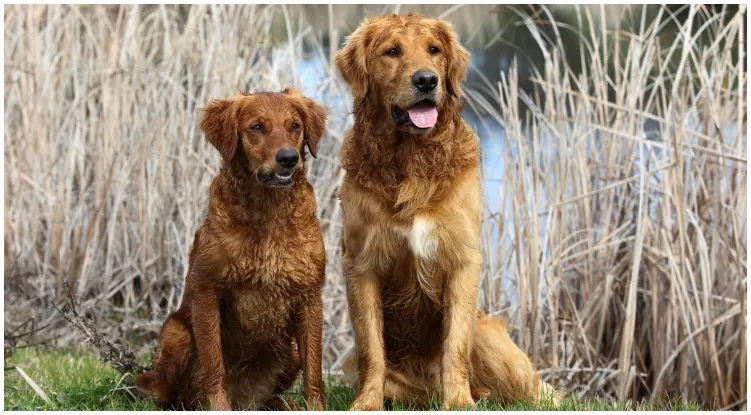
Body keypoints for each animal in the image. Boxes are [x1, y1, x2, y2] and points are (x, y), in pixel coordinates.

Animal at [136, 89, 328, 412]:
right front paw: (217, 406)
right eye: (257, 127)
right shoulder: (207, 291)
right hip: (176, 333)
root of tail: (245, 401)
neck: (268, 213)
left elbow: (314, 367)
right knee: (169, 394)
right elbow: (213, 363)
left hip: (288, 351)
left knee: (271, 398)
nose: (289, 158)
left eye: (295, 126)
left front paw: (316, 408)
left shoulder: (310, 295)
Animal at [336, 13, 564, 412]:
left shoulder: (463, 258)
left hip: (493, 343)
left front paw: (458, 400)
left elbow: (454, 343)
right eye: (391, 51)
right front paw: (367, 402)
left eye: (434, 50)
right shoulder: (361, 264)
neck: (410, 160)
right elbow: (371, 349)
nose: (427, 80)